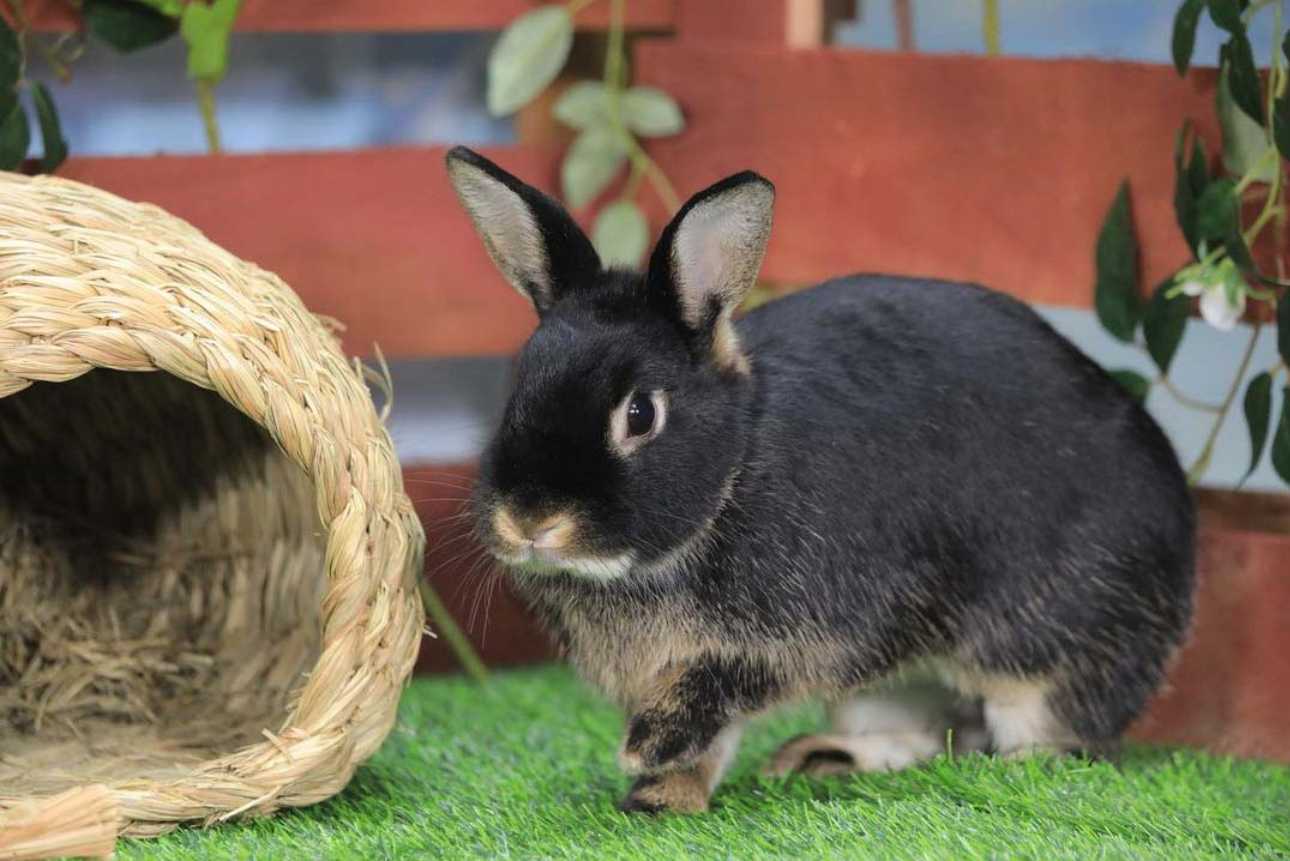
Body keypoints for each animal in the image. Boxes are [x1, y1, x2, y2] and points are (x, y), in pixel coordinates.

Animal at [446, 146, 1197, 815]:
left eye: (640, 414)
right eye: (519, 388)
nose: (532, 520)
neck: (731, 478)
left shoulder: (829, 627)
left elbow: (725, 684)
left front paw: (645, 749)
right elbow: (709, 746)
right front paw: (658, 799)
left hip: (1051, 654)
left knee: (1048, 742)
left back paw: (1006, 767)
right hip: (885, 693)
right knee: (930, 736)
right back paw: (816, 759)